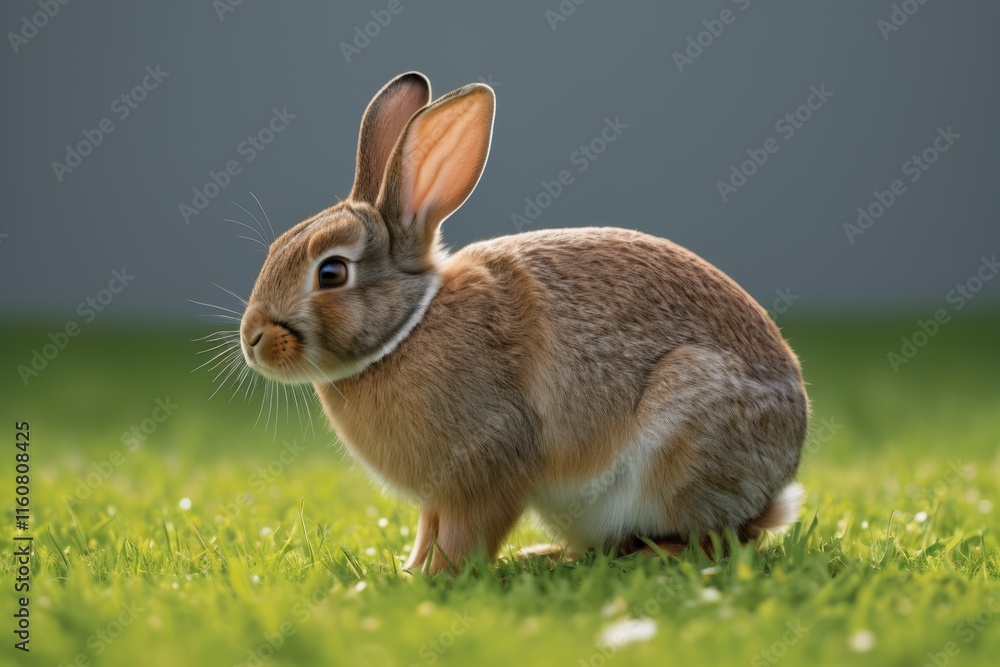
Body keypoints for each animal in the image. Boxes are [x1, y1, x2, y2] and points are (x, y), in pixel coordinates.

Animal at [239, 71, 809, 574]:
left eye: (331, 272)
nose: (252, 340)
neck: (406, 329)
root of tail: (775, 486)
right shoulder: (437, 497)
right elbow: (428, 530)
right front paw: (406, 570)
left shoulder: (486, 468)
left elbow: (464, 535)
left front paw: (434, 578)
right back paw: (545, 555)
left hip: (684, 433)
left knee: (717, 541)